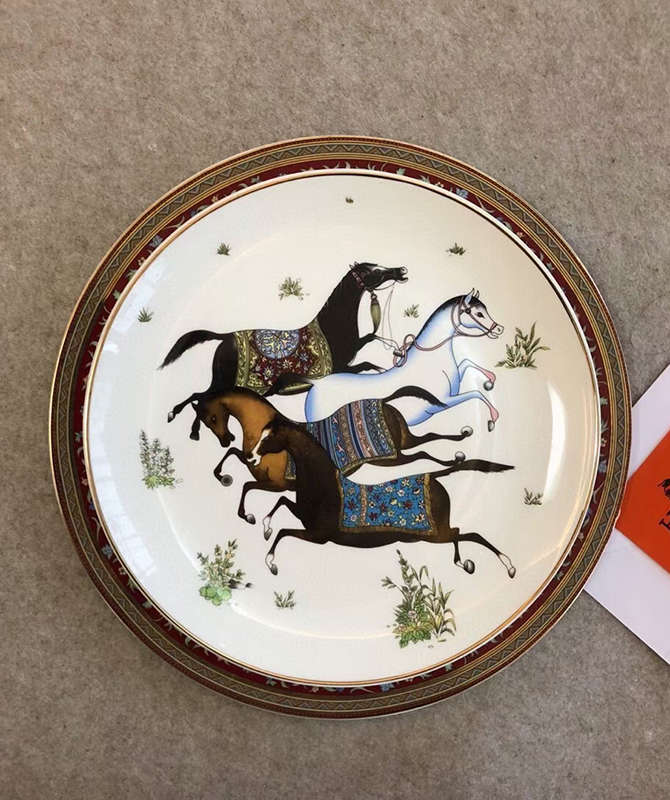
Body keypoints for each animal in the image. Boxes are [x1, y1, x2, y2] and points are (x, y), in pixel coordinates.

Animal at [160, 262, 408, 430]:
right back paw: (178, 418)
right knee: (200, 397)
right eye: (374, 272)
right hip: (226, 382)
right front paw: (382, 370)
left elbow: (368, 341)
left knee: (201, 397)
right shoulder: (337, 369)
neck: (331, 329)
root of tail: (224, 338)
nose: (401, 271)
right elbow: (365, 364)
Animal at [190, 385, 475, 526]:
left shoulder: (276, 484)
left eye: (212, 417)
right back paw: (462, 442)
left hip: (392, 456)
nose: (225, 438)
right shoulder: (252, 462)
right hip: (402, 444)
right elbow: (235, 457)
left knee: (423, 451)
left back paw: (456, 458)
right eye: (205, 422)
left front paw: (247, 515)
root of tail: (383, 400)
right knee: (427, 440)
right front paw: (223, 475)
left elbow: (247, 485)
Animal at [250, 416, 517, 578]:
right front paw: (264, 527)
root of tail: (435, 475)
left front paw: (271, 562)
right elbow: (282, 503)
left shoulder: (318, 535)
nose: (251, 457)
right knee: (463, 533)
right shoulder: (303, 516)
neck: (325, 487)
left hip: (435, 535)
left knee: (463, 534)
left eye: (268, 437)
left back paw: (494, 565)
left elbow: (284, 531)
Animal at [281, 289, 502, 428]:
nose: (499, 329)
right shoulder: (444, 402)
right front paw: (493, 419)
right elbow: (475, 393)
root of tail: (317, 384)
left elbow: (466, 364)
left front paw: (490, 380)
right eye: (478, 314)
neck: (431, 362)